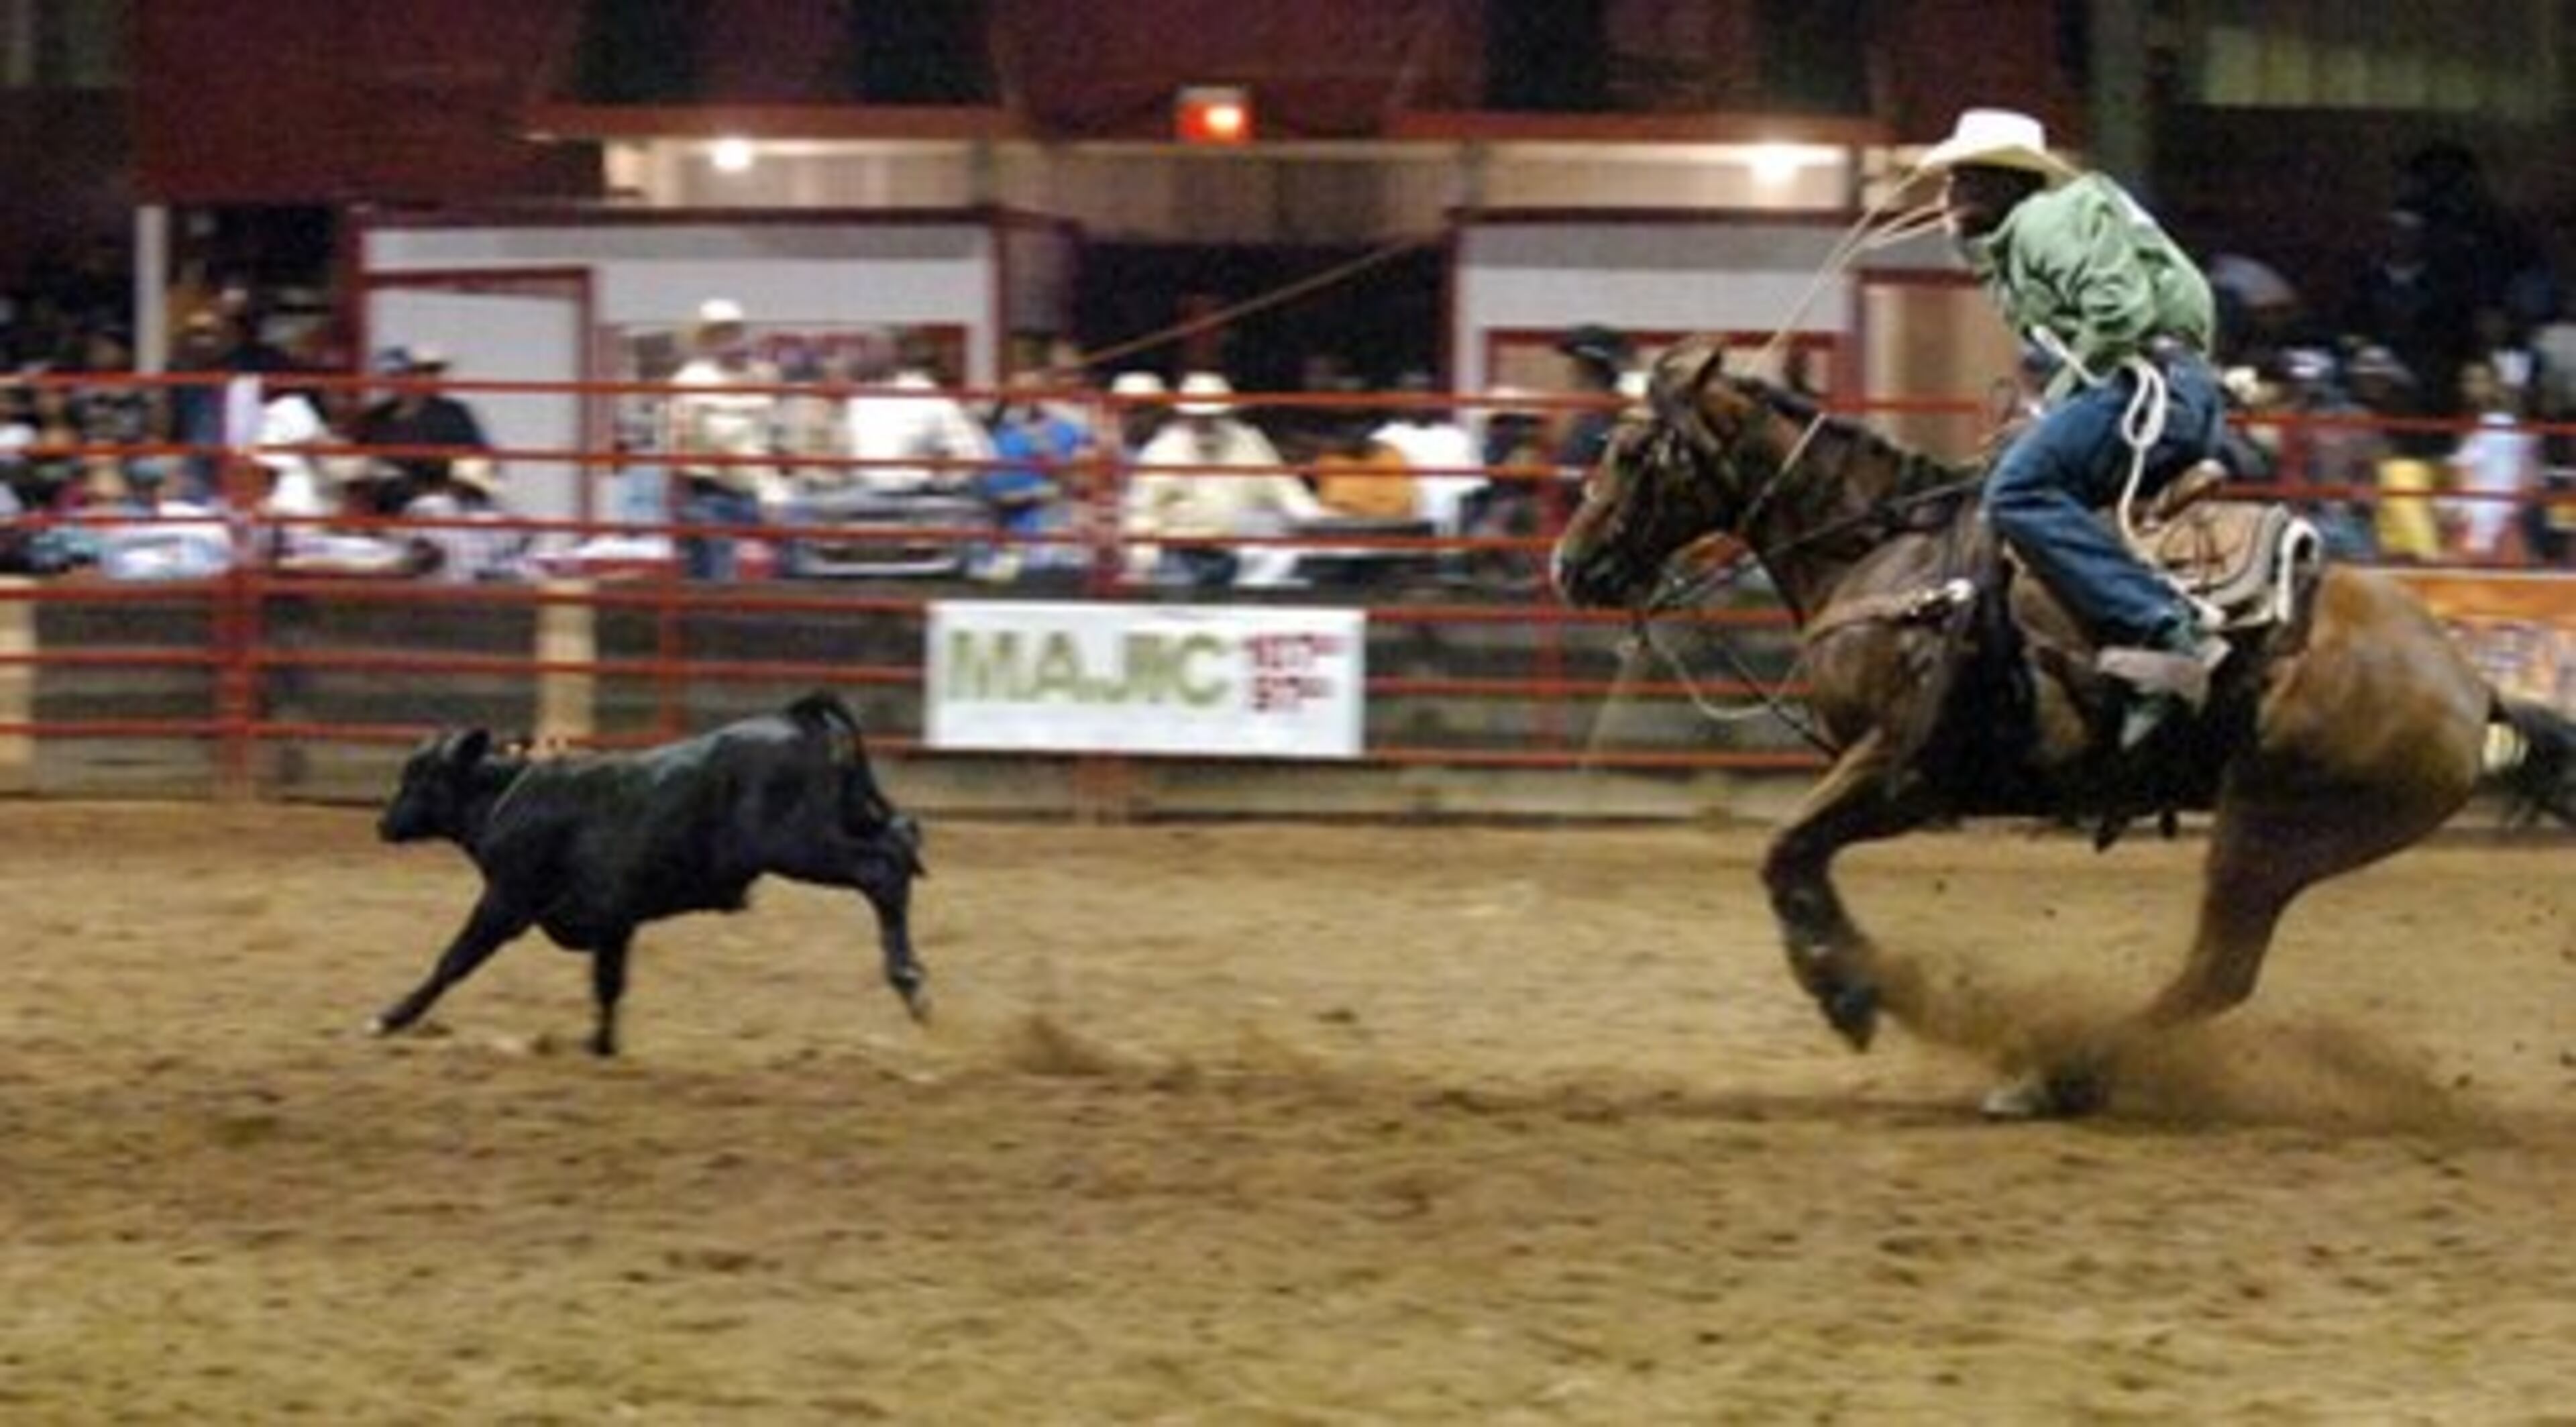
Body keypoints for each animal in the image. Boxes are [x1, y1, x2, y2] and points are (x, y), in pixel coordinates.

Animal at [371, 690, 929, 1056]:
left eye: (416, 774)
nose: (384, 822)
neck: (509, 794)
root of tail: (795, 718)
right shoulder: (615, 922)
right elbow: (608, 984)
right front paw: (602, 1046)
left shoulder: (506, 900)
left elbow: (454, 960)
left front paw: (391, 1016)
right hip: (849, 818)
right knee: (901, 838)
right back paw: (912, 980)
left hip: (802, 845)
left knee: (881, 868)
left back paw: (907, 979)